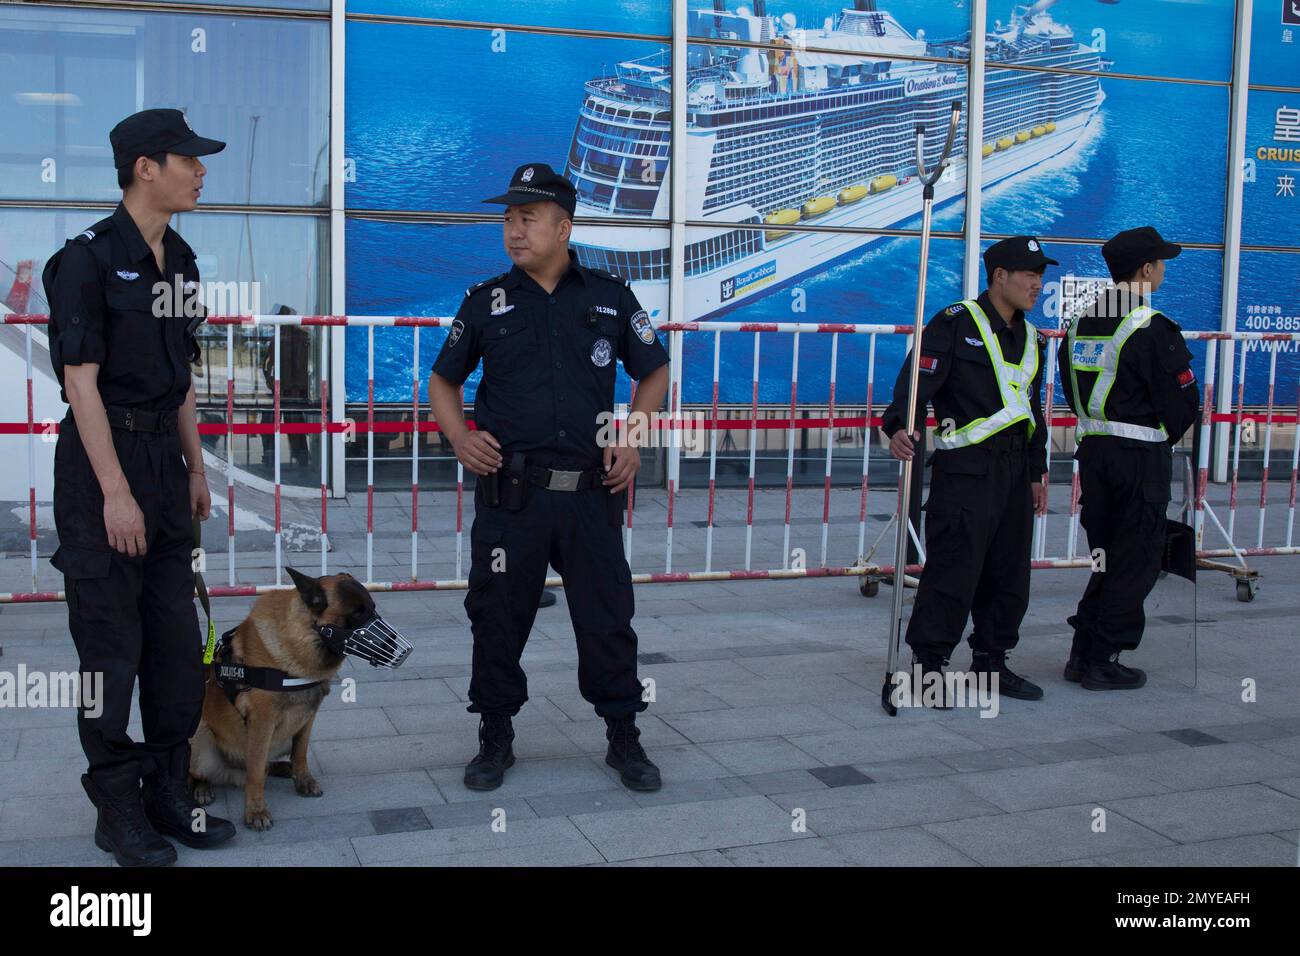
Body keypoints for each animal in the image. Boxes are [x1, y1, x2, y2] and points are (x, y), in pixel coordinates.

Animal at [189, 567, 379, 832]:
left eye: (373, 608)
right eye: (357, 613)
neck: (304, 637)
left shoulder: (307, 718)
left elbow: (300, 753)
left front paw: (303, 780)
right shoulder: (262, 723)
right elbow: (256, 774)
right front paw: (256, 811)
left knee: (268, 764)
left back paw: (281, 767)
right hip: (201, 735)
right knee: (202, 773)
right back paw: (202, 788)